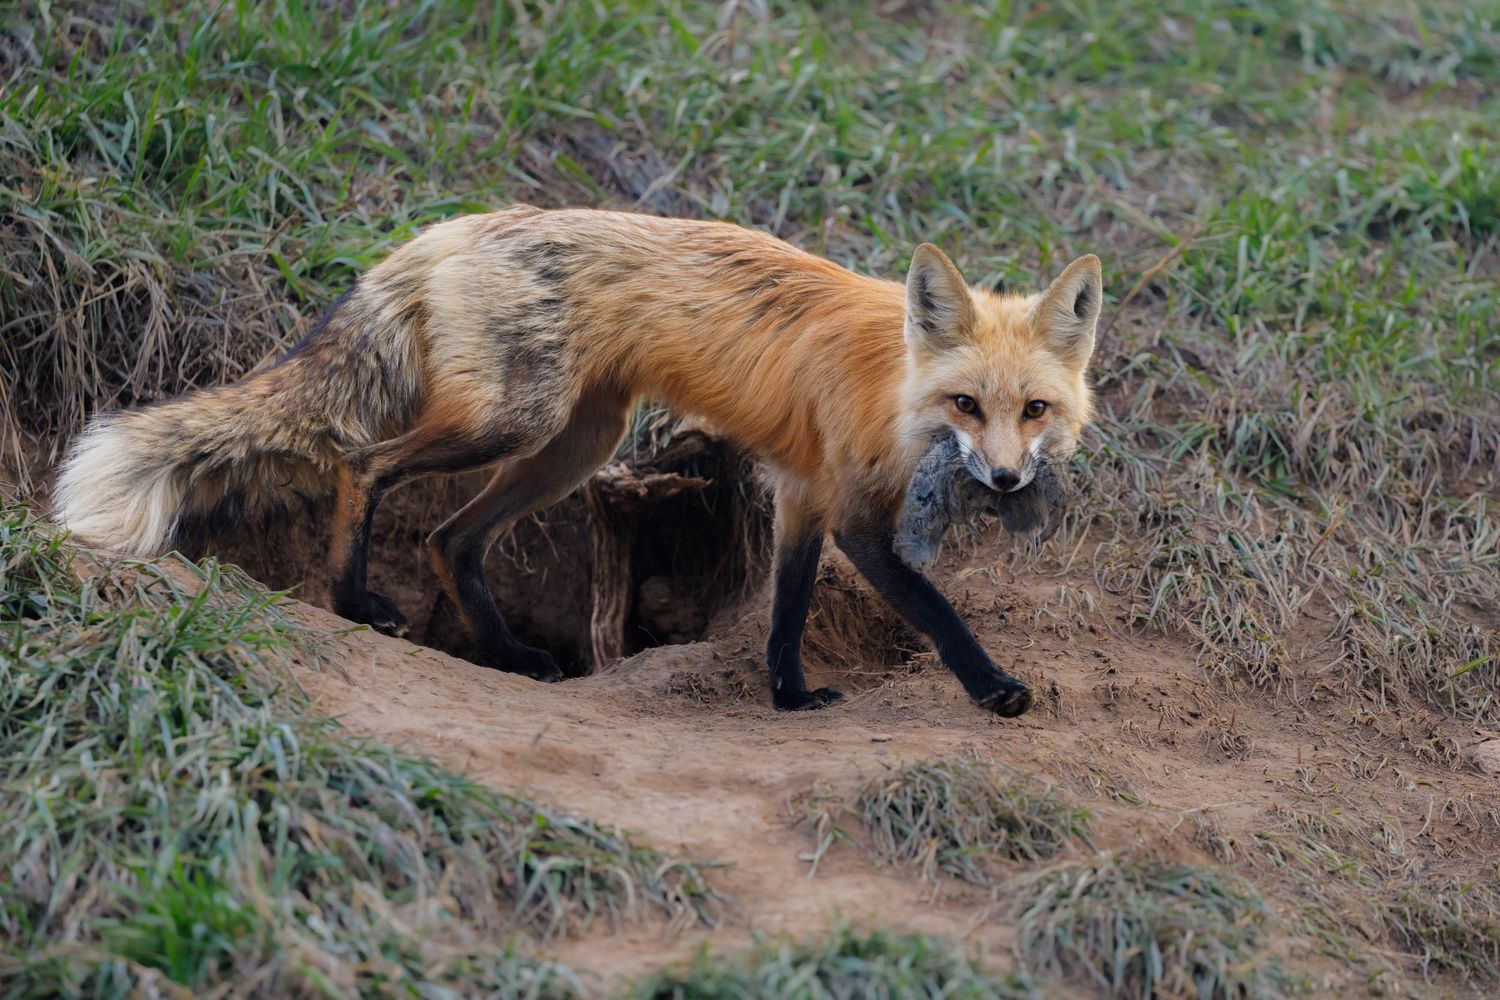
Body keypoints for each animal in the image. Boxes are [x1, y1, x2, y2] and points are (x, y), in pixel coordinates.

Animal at [55, 205, 1100, 716]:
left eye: (1033, 410)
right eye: (966, 406)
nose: (1007, 481)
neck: (892, 389)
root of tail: (454, 226)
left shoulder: (803, 498)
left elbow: (785, 613)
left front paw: (789, 697)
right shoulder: (847, 510)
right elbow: (936, 611)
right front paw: (995, 690)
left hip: (570, 447)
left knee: (448, 538)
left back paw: (510, 654)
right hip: (514, 423)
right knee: (363, 463)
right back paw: (353, 603)